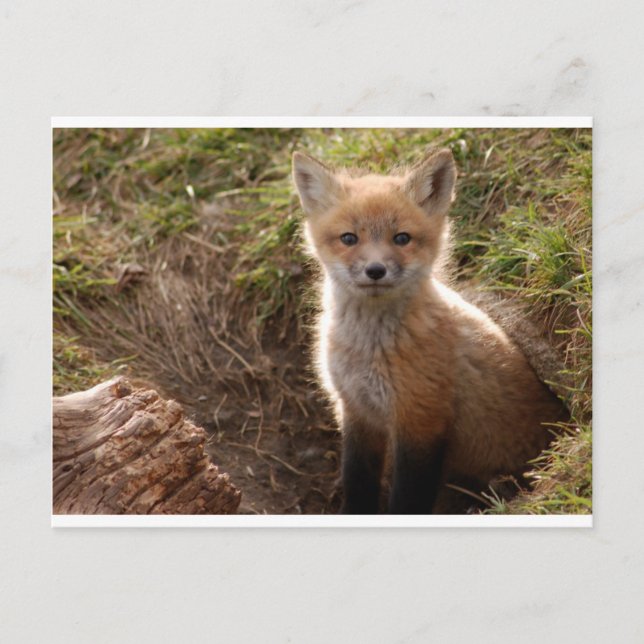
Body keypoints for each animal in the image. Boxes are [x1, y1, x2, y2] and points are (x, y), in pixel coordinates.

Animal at [292, 147, 568, 514]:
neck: (369, 351)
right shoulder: (357, 411)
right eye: (349, 238)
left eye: (402, 238)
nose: (375, 270)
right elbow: (357, 482)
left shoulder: (421, 420)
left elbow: (408, 498)